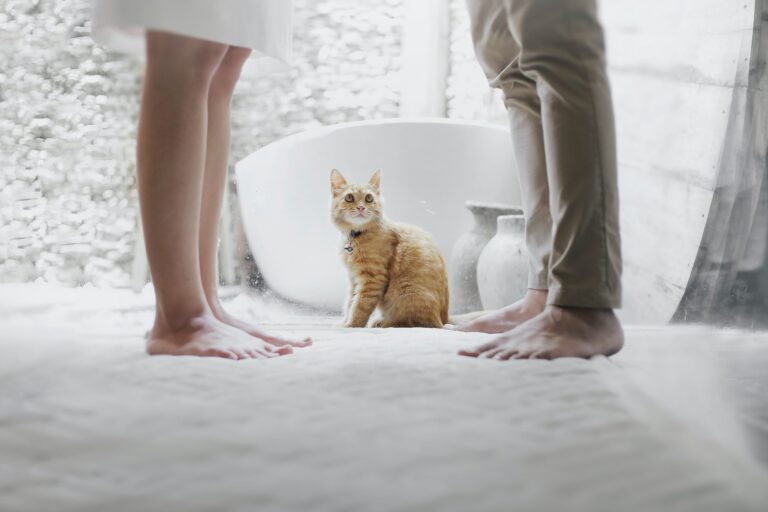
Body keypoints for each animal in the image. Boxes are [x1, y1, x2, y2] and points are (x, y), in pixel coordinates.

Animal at [330, 168, 450, 328]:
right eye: (349, 197)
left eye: (369, 198)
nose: (361, 207)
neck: (356, 235)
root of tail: (445, 319)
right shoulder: (353, 278)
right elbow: (350, 303)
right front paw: (344, 321)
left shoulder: (373, 279)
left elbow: (360, 305)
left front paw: (351, 324)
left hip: (406, 293)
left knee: (409, 322)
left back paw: (382, 322)